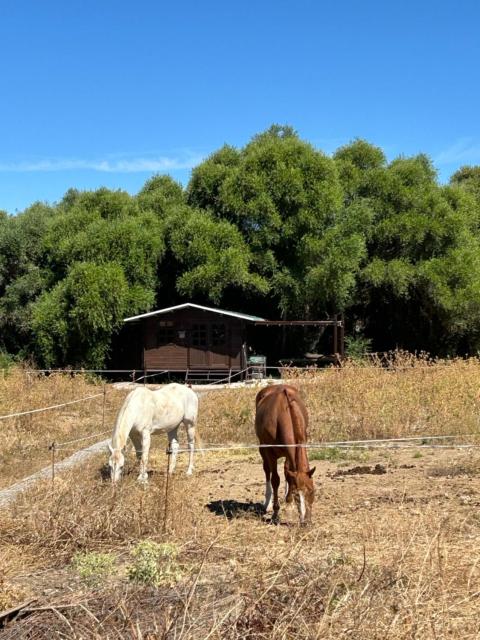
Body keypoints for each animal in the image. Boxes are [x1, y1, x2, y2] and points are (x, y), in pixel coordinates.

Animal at [255, 382, 316, 524]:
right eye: (296, 494)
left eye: (311, 491)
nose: (306, 521)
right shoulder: (270, 453)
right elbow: (275, 480)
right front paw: (275, 513)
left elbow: (288, 473)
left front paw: (287, 499)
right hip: (262, 449)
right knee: (267, 471)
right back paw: (267, 503)